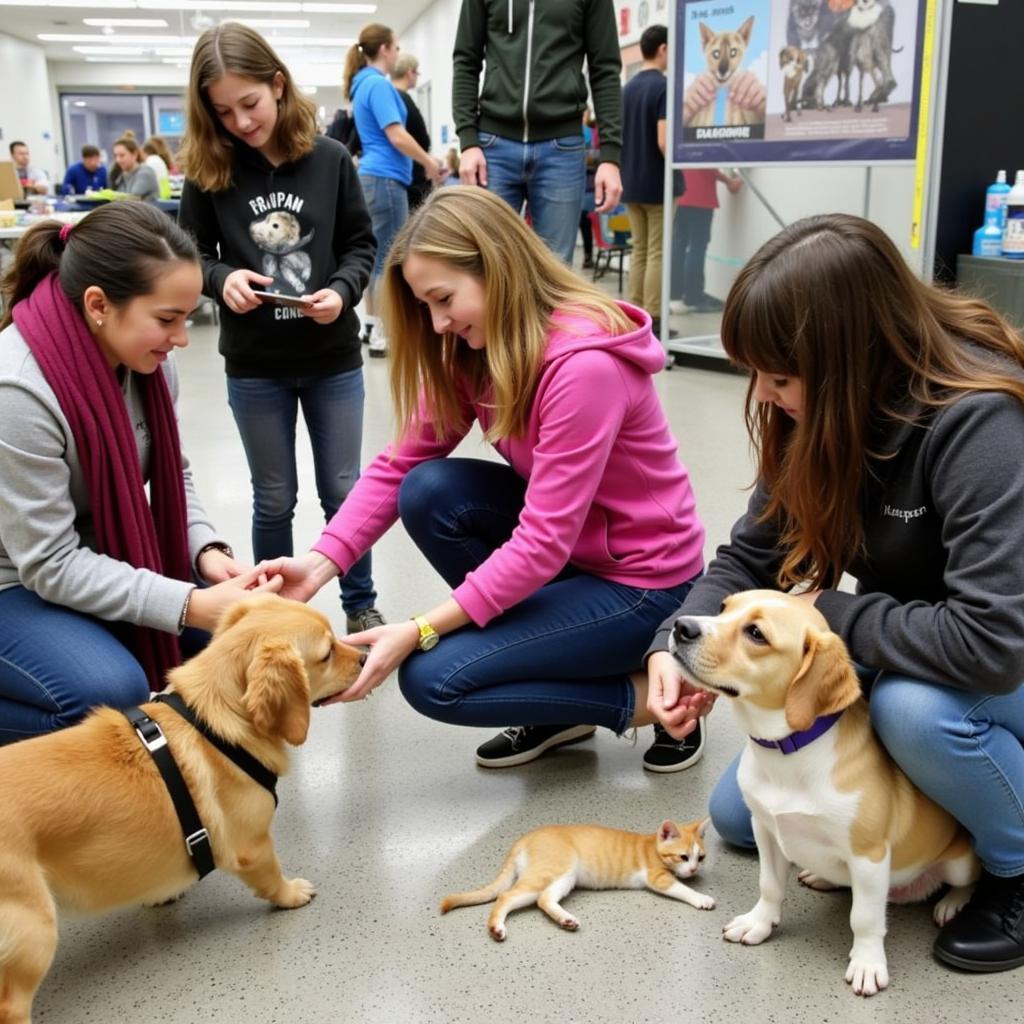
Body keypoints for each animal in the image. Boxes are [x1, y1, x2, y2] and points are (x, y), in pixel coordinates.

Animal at [0, 593, 364, 1024]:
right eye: (327, 653)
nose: (364, 656)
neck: (212, 719)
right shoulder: (253, 845)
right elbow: (272, 876)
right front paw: (290, 894)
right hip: (34, 931)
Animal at [440, 819, 712, 937]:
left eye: (701, 858)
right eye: (683, 857)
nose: (693, 870)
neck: (653, 845)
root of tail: (524, 838)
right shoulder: (657, 877)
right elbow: (681, 889)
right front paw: (701, 898)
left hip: (565, 877)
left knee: (544, 899)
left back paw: (565, 920)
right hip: (550, 871)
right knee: (506, 896)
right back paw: (496, 927)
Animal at [667, 593, 978, 999]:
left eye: (756, 633)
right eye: (723, 607)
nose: (681, 626)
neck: (787, 753)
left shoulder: (869, 855)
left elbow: (864, 918)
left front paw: (867, 963)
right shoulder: (765, 830)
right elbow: (770, 886)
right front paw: (759, 923)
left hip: (958, 863)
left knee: (968, 881)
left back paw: (952, 903)